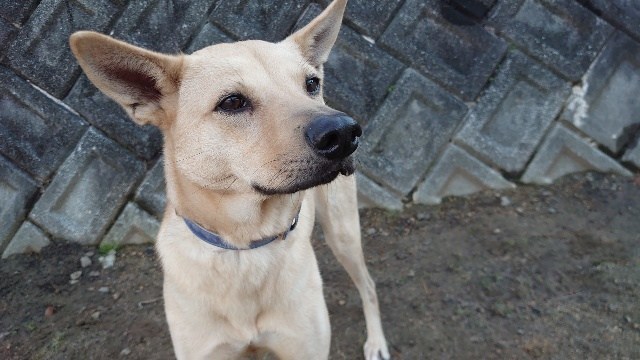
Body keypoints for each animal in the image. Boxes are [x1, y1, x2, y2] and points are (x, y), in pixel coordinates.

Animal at [70, 1, 390, 358]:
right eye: (233, 102)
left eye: (310, 84)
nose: (344, 132)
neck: (244, 245)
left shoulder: (305, 347)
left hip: (342, 232)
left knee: (368, 284)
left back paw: (376, 342)